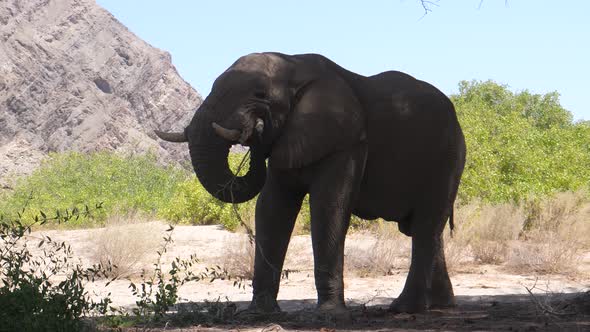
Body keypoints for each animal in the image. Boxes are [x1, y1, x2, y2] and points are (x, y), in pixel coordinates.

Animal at [156, 52, 468, 314]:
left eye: (260, 95)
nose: (255, 127)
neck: (295, 65)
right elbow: (271, 209)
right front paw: (260, 312)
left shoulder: (346, 141)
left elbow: (328, 207)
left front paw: (329, 313)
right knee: (425, 229)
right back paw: (440, 305)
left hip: (447, 158)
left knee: (426, 226)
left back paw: (404, 309)